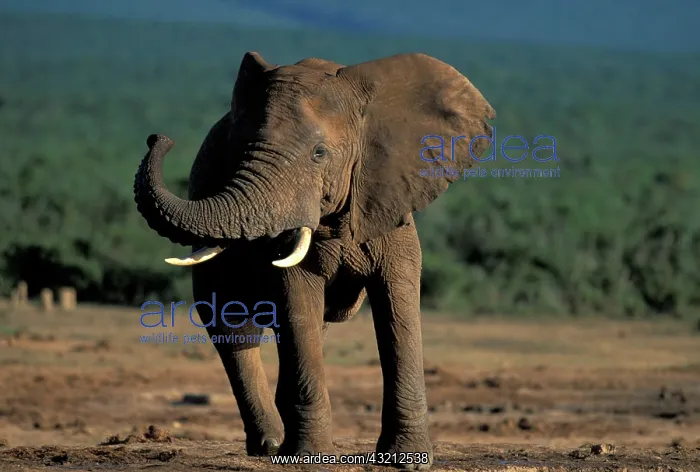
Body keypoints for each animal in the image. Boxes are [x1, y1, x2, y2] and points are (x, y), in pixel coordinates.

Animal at [133, 51, 494, 469]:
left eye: (319, 154)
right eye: (239, 151)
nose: (157, 137)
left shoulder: (389, 197)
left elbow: (397, 303)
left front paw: (407, 460)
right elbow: (296, 298)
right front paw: (309, 457)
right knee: (233, 324)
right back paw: (272, 445)